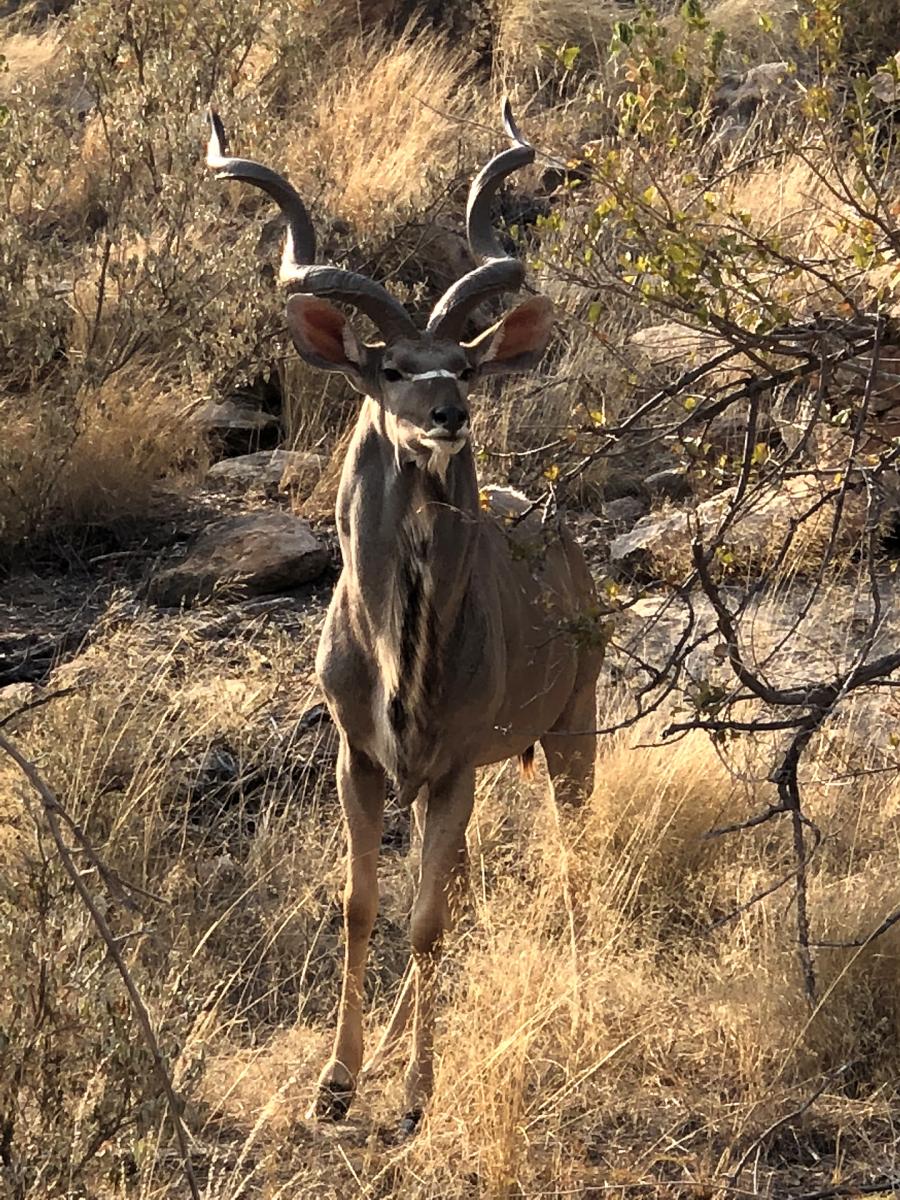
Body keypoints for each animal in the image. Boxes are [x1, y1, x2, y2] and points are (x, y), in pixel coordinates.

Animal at [207, 103, 607, 1132]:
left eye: (462, 360)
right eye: (388, 367)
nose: (448, 412)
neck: (403, 658)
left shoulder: (454, 763)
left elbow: (424, 918)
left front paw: (419, 1097)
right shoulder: (362, 757)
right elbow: (363, 904)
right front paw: (340, 1080)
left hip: (571, 727)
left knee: (570, 856)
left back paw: (579, 1002)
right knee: (461, 880)